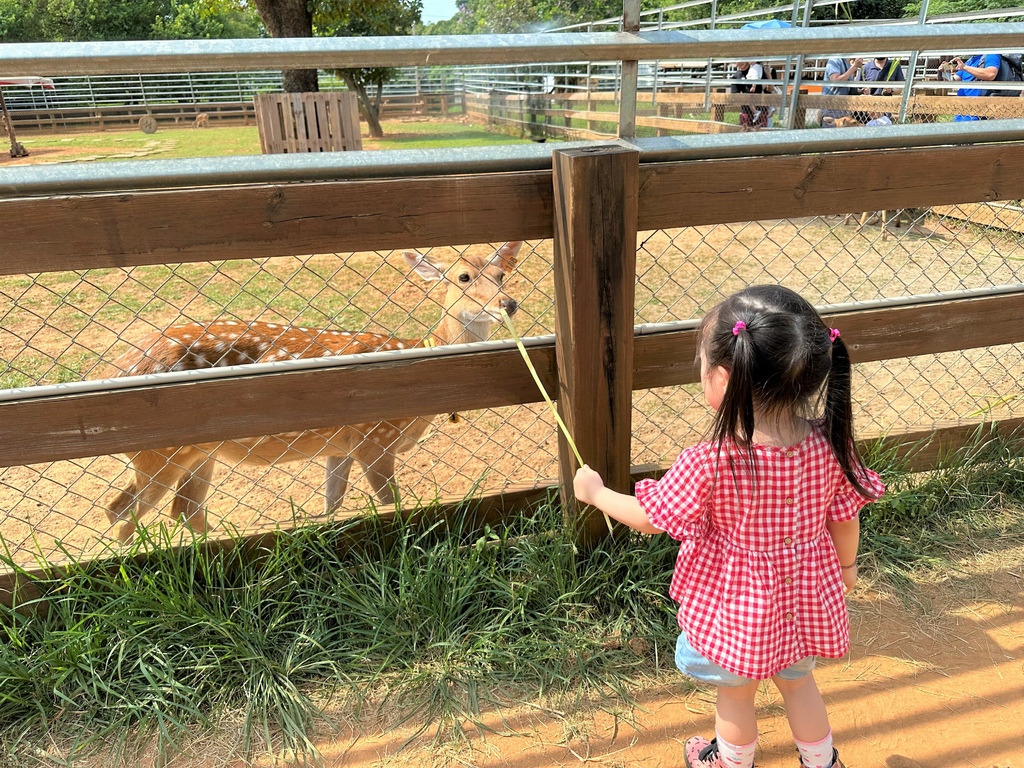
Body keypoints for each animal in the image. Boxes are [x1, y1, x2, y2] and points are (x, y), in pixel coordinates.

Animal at [101, 241, 520, 540]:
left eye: (501, 274)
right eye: (464, 277)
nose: (509, 304)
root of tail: (115, 368)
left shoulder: (341, 446)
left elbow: (332, 504)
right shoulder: (375, 440)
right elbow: (393, 504)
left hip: (199, 453)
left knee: (183, 509)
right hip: (159, 453)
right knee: (121, 511)